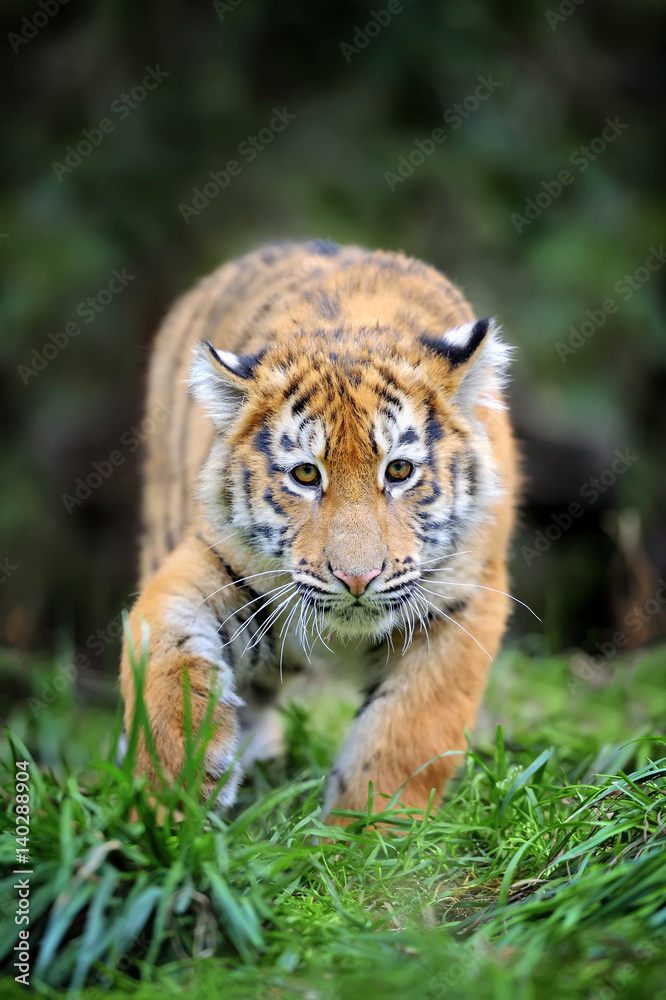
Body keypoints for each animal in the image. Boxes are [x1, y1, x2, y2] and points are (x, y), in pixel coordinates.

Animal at [119, 238, 518, 820]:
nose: (357, 579)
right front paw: (170, 797)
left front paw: (369, 827)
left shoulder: (464, 600)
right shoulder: (212, 561)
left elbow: (408, 733)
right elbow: (163, 651)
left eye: (399, 470)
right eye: (306, 475)